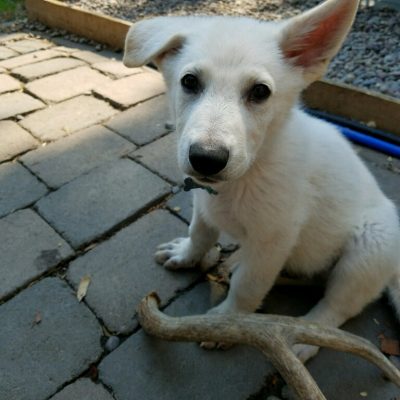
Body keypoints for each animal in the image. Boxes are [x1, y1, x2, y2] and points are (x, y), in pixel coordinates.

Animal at [124, 0, 400, 362]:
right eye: (189, 82)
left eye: (260, 92)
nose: (206, 158)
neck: (249, 172)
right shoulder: (203, 202)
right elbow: (199, 233)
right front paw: (186, 255)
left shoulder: (274, 239)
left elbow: (249, 285)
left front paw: (228, 323)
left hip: (370, 248)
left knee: (337, 305)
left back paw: (308, 336)